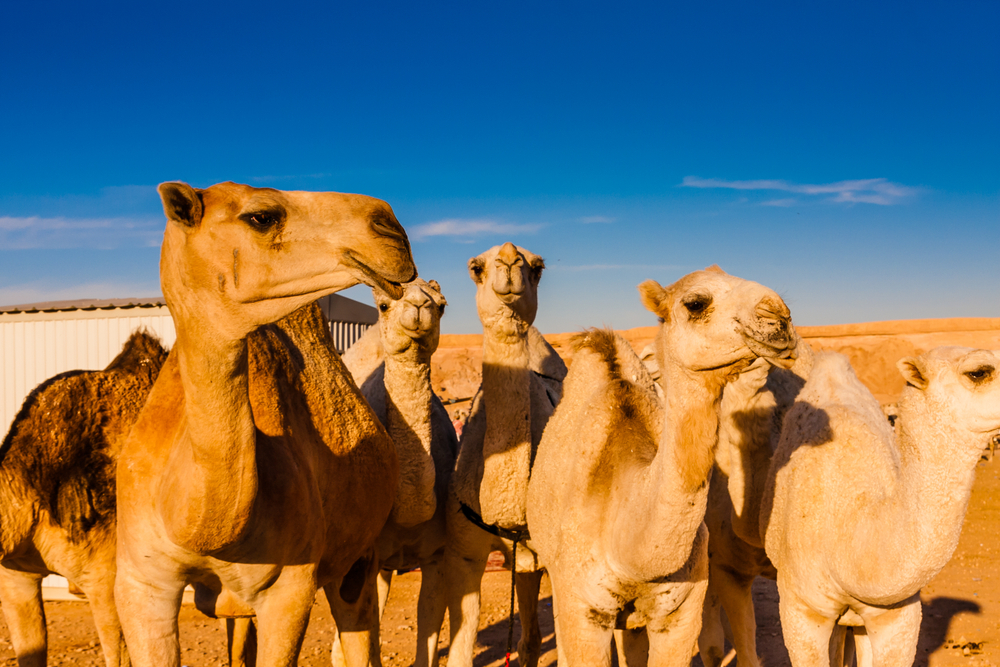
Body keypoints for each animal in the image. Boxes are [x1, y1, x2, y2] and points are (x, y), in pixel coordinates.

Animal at [114, 181, 415, 667]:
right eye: (261, 216)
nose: (390, 227)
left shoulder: (289, 588)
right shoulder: (140, 583)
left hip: (359, 558)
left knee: (359, 627)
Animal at [332, 278, 458, 666]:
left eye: (442, 305)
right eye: (384, 305)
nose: (418, 306)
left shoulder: (437, 557)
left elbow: (428, 632)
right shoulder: (366, 562)